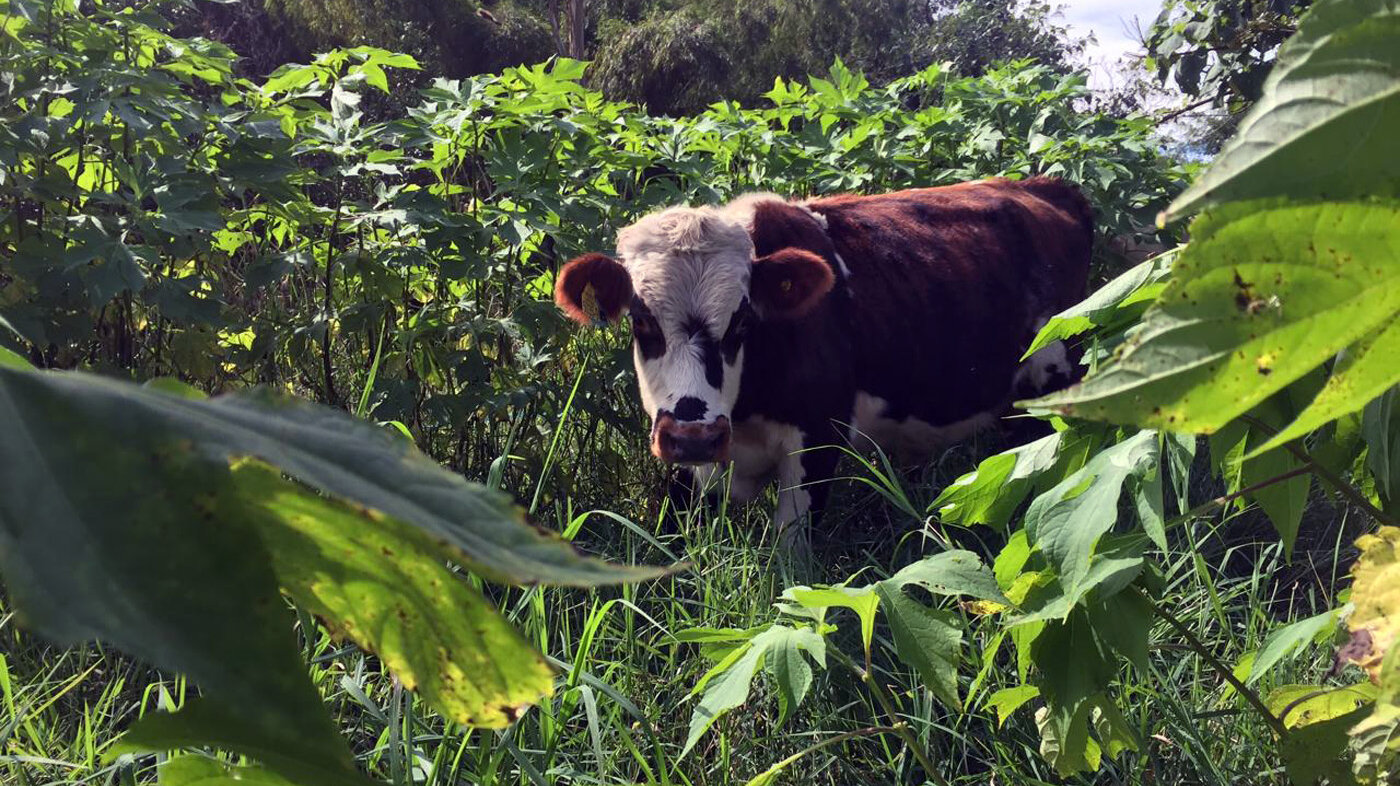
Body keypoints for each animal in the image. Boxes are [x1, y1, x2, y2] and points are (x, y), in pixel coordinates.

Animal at [554, 177, 1092, 529]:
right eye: (641, 321)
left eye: (743, 322)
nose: (694, 436)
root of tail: (1044, 184)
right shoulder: (691, 471)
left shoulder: (818, 441)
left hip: (1056, 383)